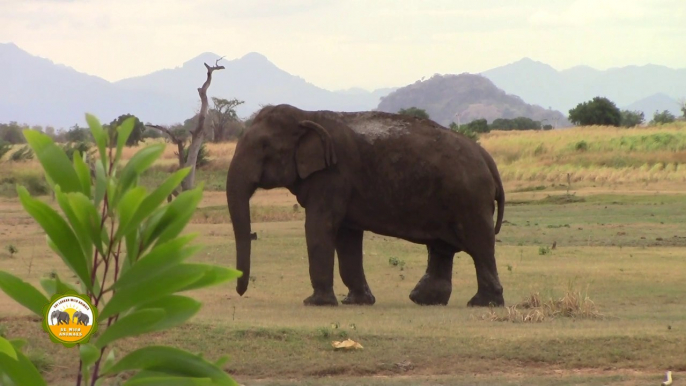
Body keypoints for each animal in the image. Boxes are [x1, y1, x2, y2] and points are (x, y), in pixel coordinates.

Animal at [228, 103, 508, 308]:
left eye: (264, 147)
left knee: (479, 244)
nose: (240, 292)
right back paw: (424, 300)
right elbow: (346, 236)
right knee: (442, 248)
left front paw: (315, 303)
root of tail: (488, 160)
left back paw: (482, 304)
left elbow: (320, 226)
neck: (307, 114)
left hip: (470, 198)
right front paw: (357, 302)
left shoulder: (334, 176)